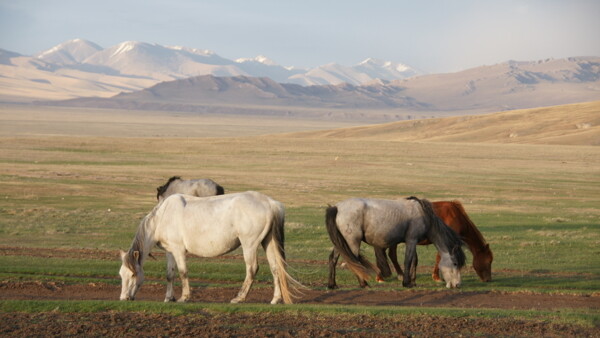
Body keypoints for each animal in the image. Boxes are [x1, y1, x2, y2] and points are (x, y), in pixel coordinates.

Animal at [119, 191, 302, 304]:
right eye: (122, 274)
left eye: (133, 274)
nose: (123, 298)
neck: (163, 216)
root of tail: (270, 203)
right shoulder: (170, 252)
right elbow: (170, 275)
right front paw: (168, 298)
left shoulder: (178, 251)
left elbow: (183, 272)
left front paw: (184, 297)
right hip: (268, 242)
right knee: (275, 269)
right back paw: (275, 299)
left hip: (249, 245)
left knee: (252, 269)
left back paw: (239, 298)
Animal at [326, 197, 466, 290]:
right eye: (455, 263)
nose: (457, 284)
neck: (423, 214)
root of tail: (337, 207)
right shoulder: (411, 240)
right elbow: (408, 261)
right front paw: (407, 283)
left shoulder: (413, 242)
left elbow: (413, 261)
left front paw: (412, 281)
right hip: (352, 242)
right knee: (354, 261)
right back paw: (363, 284)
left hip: (341, 242)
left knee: (333, 259)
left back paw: (332, 285)